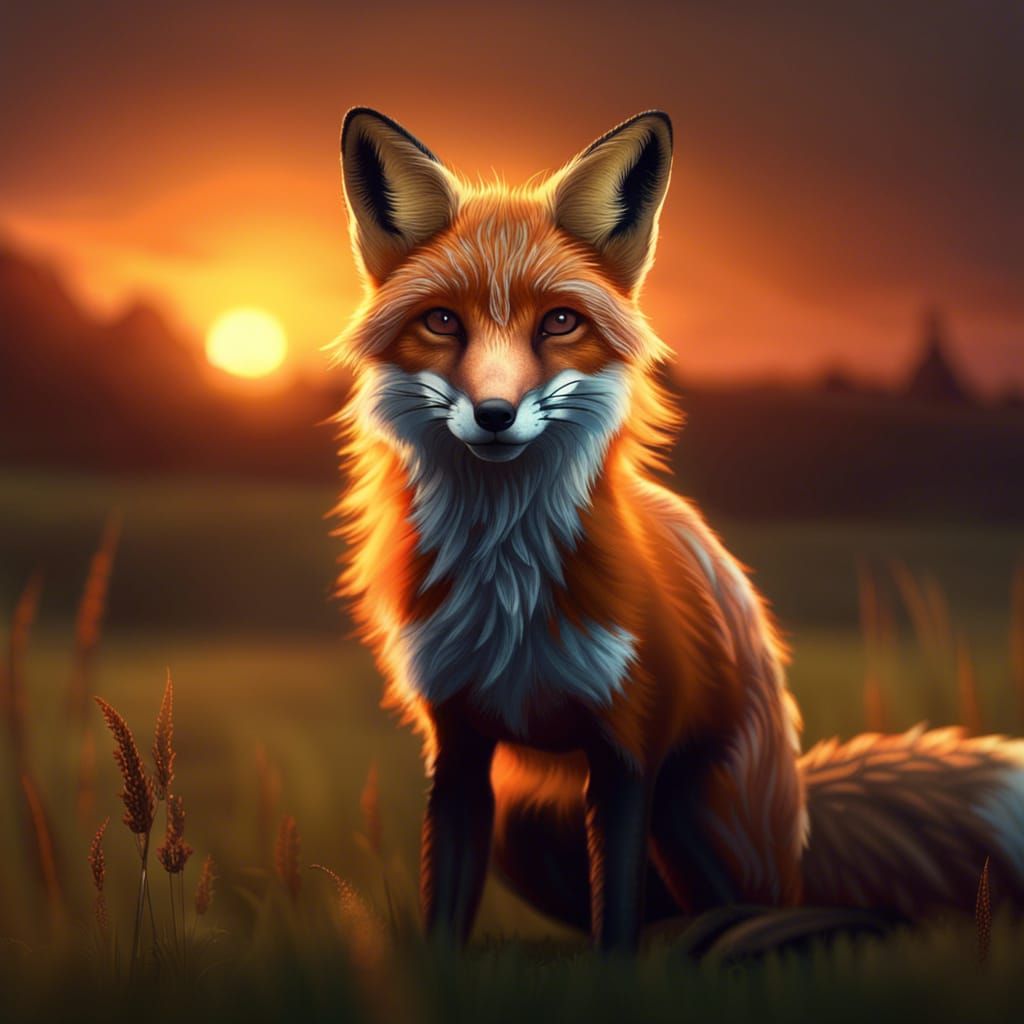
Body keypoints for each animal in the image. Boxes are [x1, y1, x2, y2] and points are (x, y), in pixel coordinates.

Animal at [332, 106, 1024, 953]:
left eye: (559, 322)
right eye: (441, 321)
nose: (495, 414)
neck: (510, 583)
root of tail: (799, 811)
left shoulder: (629, 749)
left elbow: (618, 923)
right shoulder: (460, 745)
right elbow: (447, 918)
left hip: (691, 816)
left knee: (772, 910)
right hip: (527, 820)